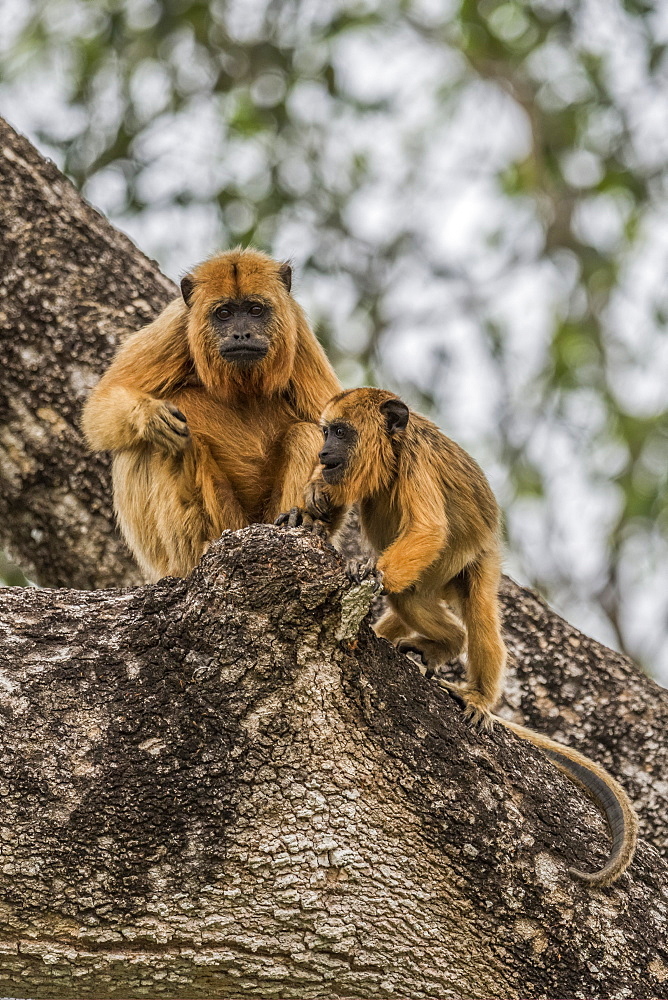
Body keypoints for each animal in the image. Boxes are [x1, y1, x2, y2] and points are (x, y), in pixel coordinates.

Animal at [83, 246, 342, 584]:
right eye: (224, 314)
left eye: (255, 310)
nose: (242, 334)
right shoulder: (174, 326)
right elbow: (98, 409)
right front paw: (149, 416)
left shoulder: (298, 333)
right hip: (222, 523)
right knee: (154, 445)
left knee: (305, 434)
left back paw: (297, 523)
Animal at [276, 386, 636, 888]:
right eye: (326, 431)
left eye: (341, 432)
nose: (324, 452)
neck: (391, 451)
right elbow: (332, 508)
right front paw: (306, 515)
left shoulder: (417, 464)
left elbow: (427, 530)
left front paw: (367, 571)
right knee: (409, 600)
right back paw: (428, 644)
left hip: (474, 560)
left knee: (471, 613)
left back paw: (469, 678)